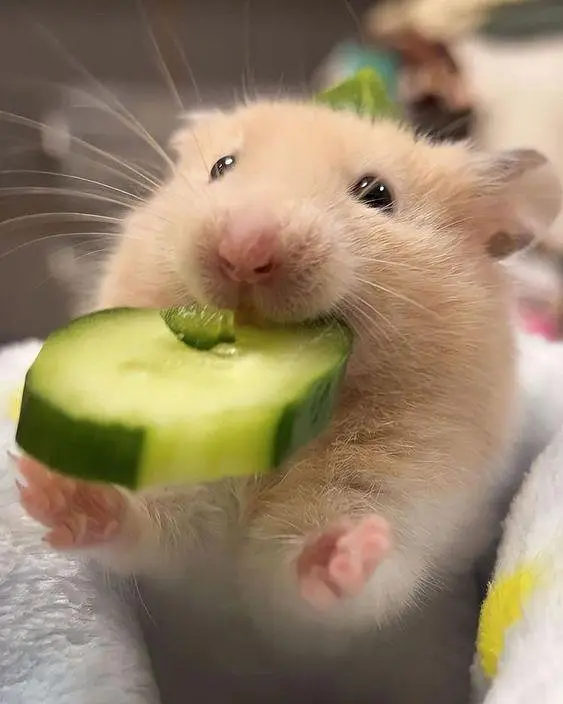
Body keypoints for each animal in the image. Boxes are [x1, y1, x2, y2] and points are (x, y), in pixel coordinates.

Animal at [17, 100, 561, 704]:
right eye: (222, 166)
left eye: (377, 194)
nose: (243, 249)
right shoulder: (179, 517)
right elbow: (148, 525)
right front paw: (51, 490)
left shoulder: (405, 495)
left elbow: (322, 577)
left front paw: (347, 546)